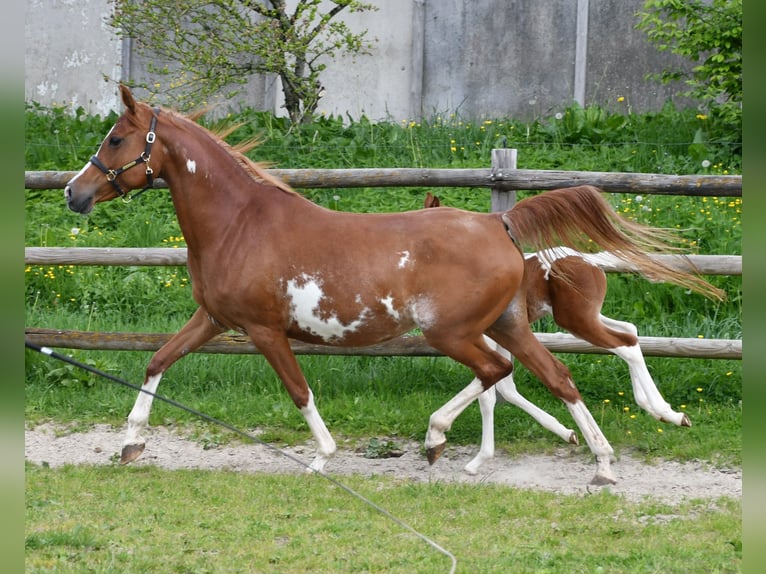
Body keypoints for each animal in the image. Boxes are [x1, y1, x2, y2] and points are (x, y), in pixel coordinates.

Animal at [424, 193, 721, 474]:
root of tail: (588, 259)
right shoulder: (503, 336)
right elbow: (505, 387)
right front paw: (568, 433)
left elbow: (490, 394)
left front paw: (476, 461)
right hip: (588, 316)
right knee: (631, 331)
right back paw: (659, 409)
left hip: (576, 320)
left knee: (624, 343)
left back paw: (662, 411)